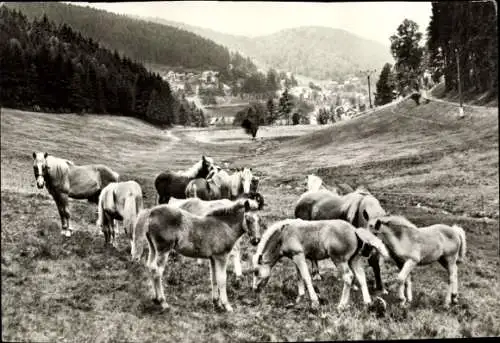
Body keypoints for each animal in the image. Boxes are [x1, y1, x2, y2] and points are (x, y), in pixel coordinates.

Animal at [131, 198, 264, 314]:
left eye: (260, 220)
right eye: (247, 219)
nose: (256, 240)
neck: (224, 226)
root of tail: (151, 211)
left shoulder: (213, 258)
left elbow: (214, 279)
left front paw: (216, 303)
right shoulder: (221, 257)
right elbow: (222, 280)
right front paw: (227, 306)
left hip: (153, 248)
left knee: (150, 267)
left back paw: (154, 298)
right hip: (163, 250)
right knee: (157, 272)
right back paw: (163, 302)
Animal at [252, 220, 388, 312]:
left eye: (256, 272)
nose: (254, 289)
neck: (283, 234)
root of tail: (354, 230)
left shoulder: (299, 255)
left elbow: (306, 277)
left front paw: (314, 303)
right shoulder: (295, 258)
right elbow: (299, 277)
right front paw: (299, 299)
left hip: (339, 260)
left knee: (348, 277)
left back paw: (341, 305)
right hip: (354, 260)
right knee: (361, 277)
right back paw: (368, 304)